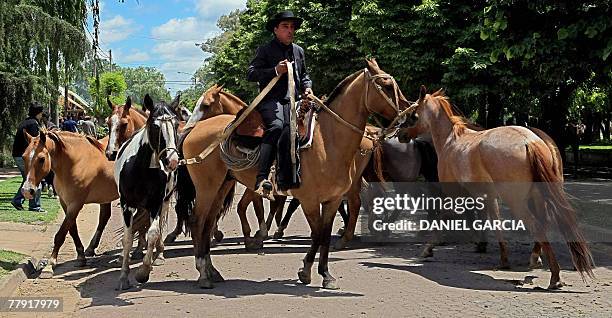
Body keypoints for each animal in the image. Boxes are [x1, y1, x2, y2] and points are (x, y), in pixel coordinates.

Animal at [21, 130, 118, 278]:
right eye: (24, 157)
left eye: (42, 159)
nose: (27, 191)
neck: (75, 163)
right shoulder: (65, 203)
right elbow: (72, 230)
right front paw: (81, 256)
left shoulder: (76, 204)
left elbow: (61, 234)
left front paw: (50, 264)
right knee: (104, 218)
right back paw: (91, 248)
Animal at [115, 94, 180, 290]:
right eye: (155, 126)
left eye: (176, 124)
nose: (172, 161)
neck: (140, 169)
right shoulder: (127, 206)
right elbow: (128, 239)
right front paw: (123, 276)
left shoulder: (155, 204)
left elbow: (153, 233)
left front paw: (143, 271)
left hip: (164, 202)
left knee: (158, 228)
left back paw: (158, 255)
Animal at [177, 58, 408, 290]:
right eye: (387, 86)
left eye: (205, 105)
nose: (409, 115)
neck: (327, 139)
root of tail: (194, 131)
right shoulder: (309, 199)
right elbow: (316, 233)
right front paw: (305, 270)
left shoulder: (332, 200)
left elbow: (324, 236)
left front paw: (324, 274)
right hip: (207, 187)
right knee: (197, 221)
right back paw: (204, 274)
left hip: (221, 186)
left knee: (207, 222)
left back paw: (212, 271)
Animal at [404, 86, 596, 288]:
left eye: (413, 115)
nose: (401, 134)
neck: (451, 141)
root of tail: (530, 141)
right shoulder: (487, 196)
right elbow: (495, 222)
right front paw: (503, 258)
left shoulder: (454, 193)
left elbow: (444, 217)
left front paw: (428, 248)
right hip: (537, 196)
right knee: (542, 222)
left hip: (517, 202)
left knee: (537, 226)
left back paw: (554, 276)